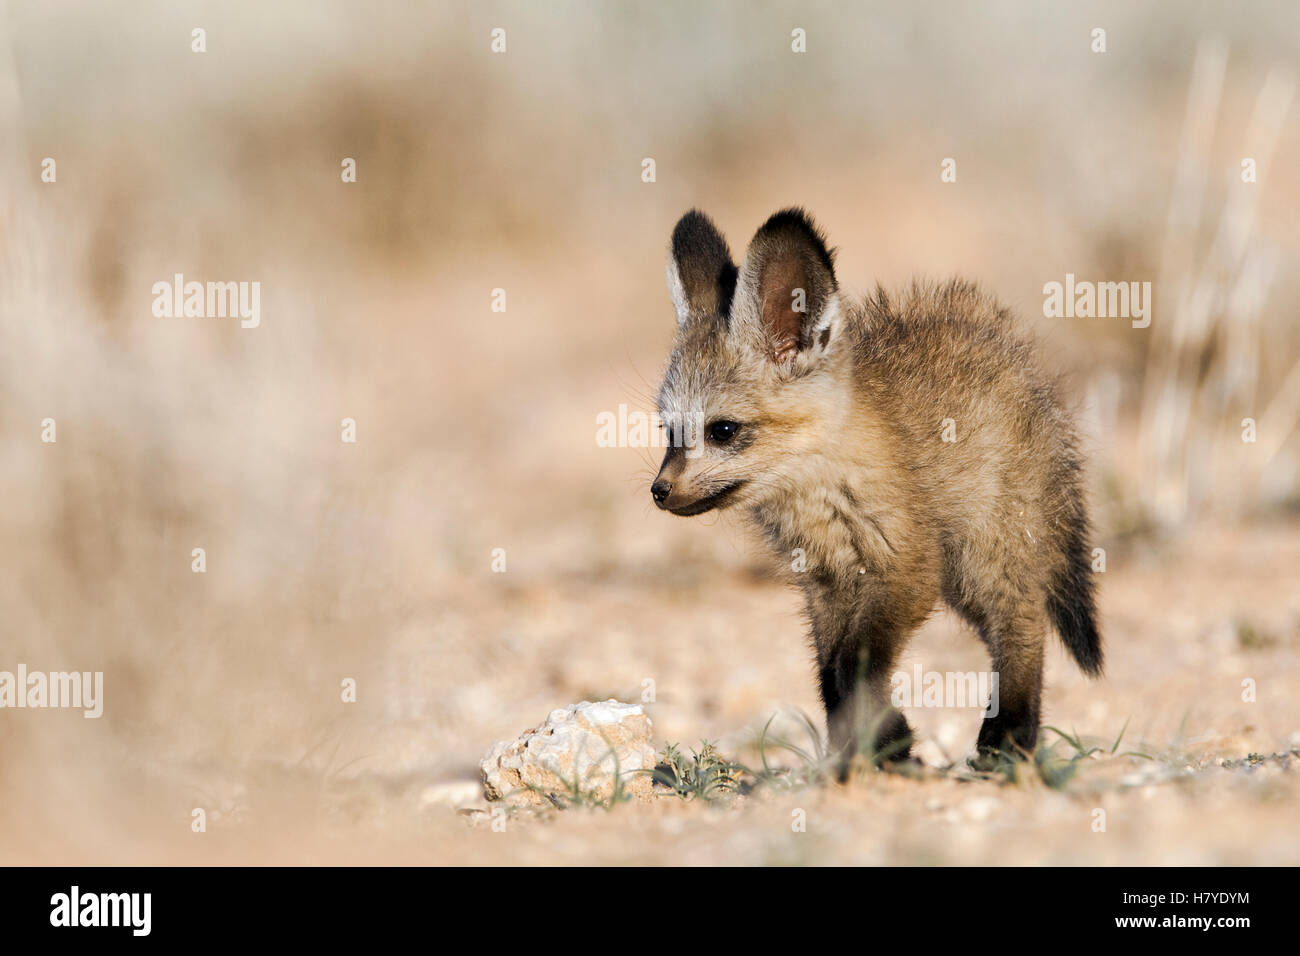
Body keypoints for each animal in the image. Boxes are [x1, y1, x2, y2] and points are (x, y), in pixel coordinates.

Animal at [651, 207, 1102, 774]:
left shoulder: (907, 572)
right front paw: (875, 744)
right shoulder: (824, 586)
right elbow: (830, 676)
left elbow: (855, 666)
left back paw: (1008, 739)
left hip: (980, 560)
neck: (821, 498)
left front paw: (890, 742)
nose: (659, 491)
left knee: (1022, 627)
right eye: (668, 431)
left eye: (723, 431)